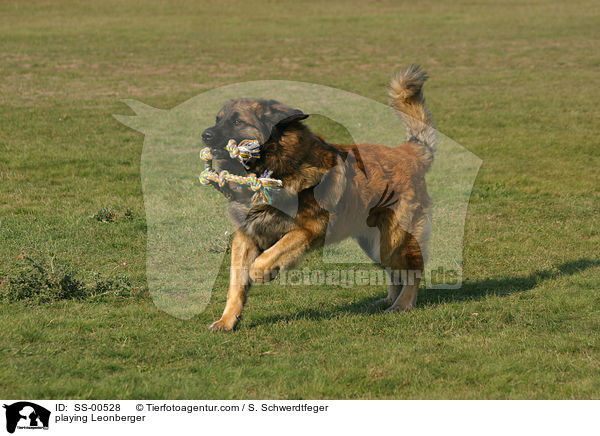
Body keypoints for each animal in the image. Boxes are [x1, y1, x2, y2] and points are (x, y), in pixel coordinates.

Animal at [203, 65, 436, 330]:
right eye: (218, 120)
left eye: (237, 121)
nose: (204, 135)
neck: (276, 165)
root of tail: (409, 152)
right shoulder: (245, 236)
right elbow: (235, 284)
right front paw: (227, 321)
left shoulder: (308, 229)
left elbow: (263, 260)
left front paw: (263, 272)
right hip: (374, 244)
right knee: (394, 272)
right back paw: (388, 300)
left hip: (394, 240)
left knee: (412, 269)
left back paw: (403, 304)